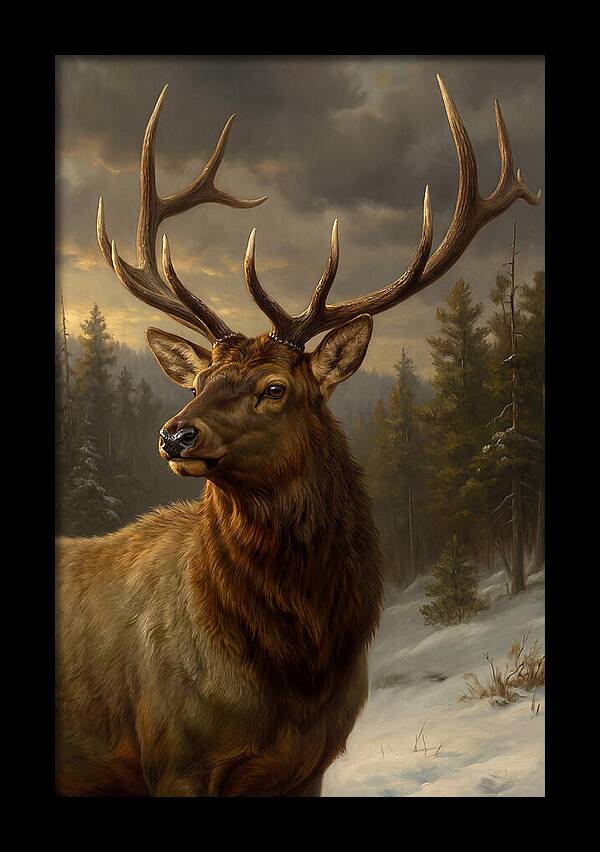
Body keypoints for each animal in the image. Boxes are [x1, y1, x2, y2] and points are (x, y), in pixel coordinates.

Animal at [55, 75, 540, 797]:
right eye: (198, 380)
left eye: (275, 388)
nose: (175, 436)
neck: (296, 669)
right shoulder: (171, 758)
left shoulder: (308, 763)